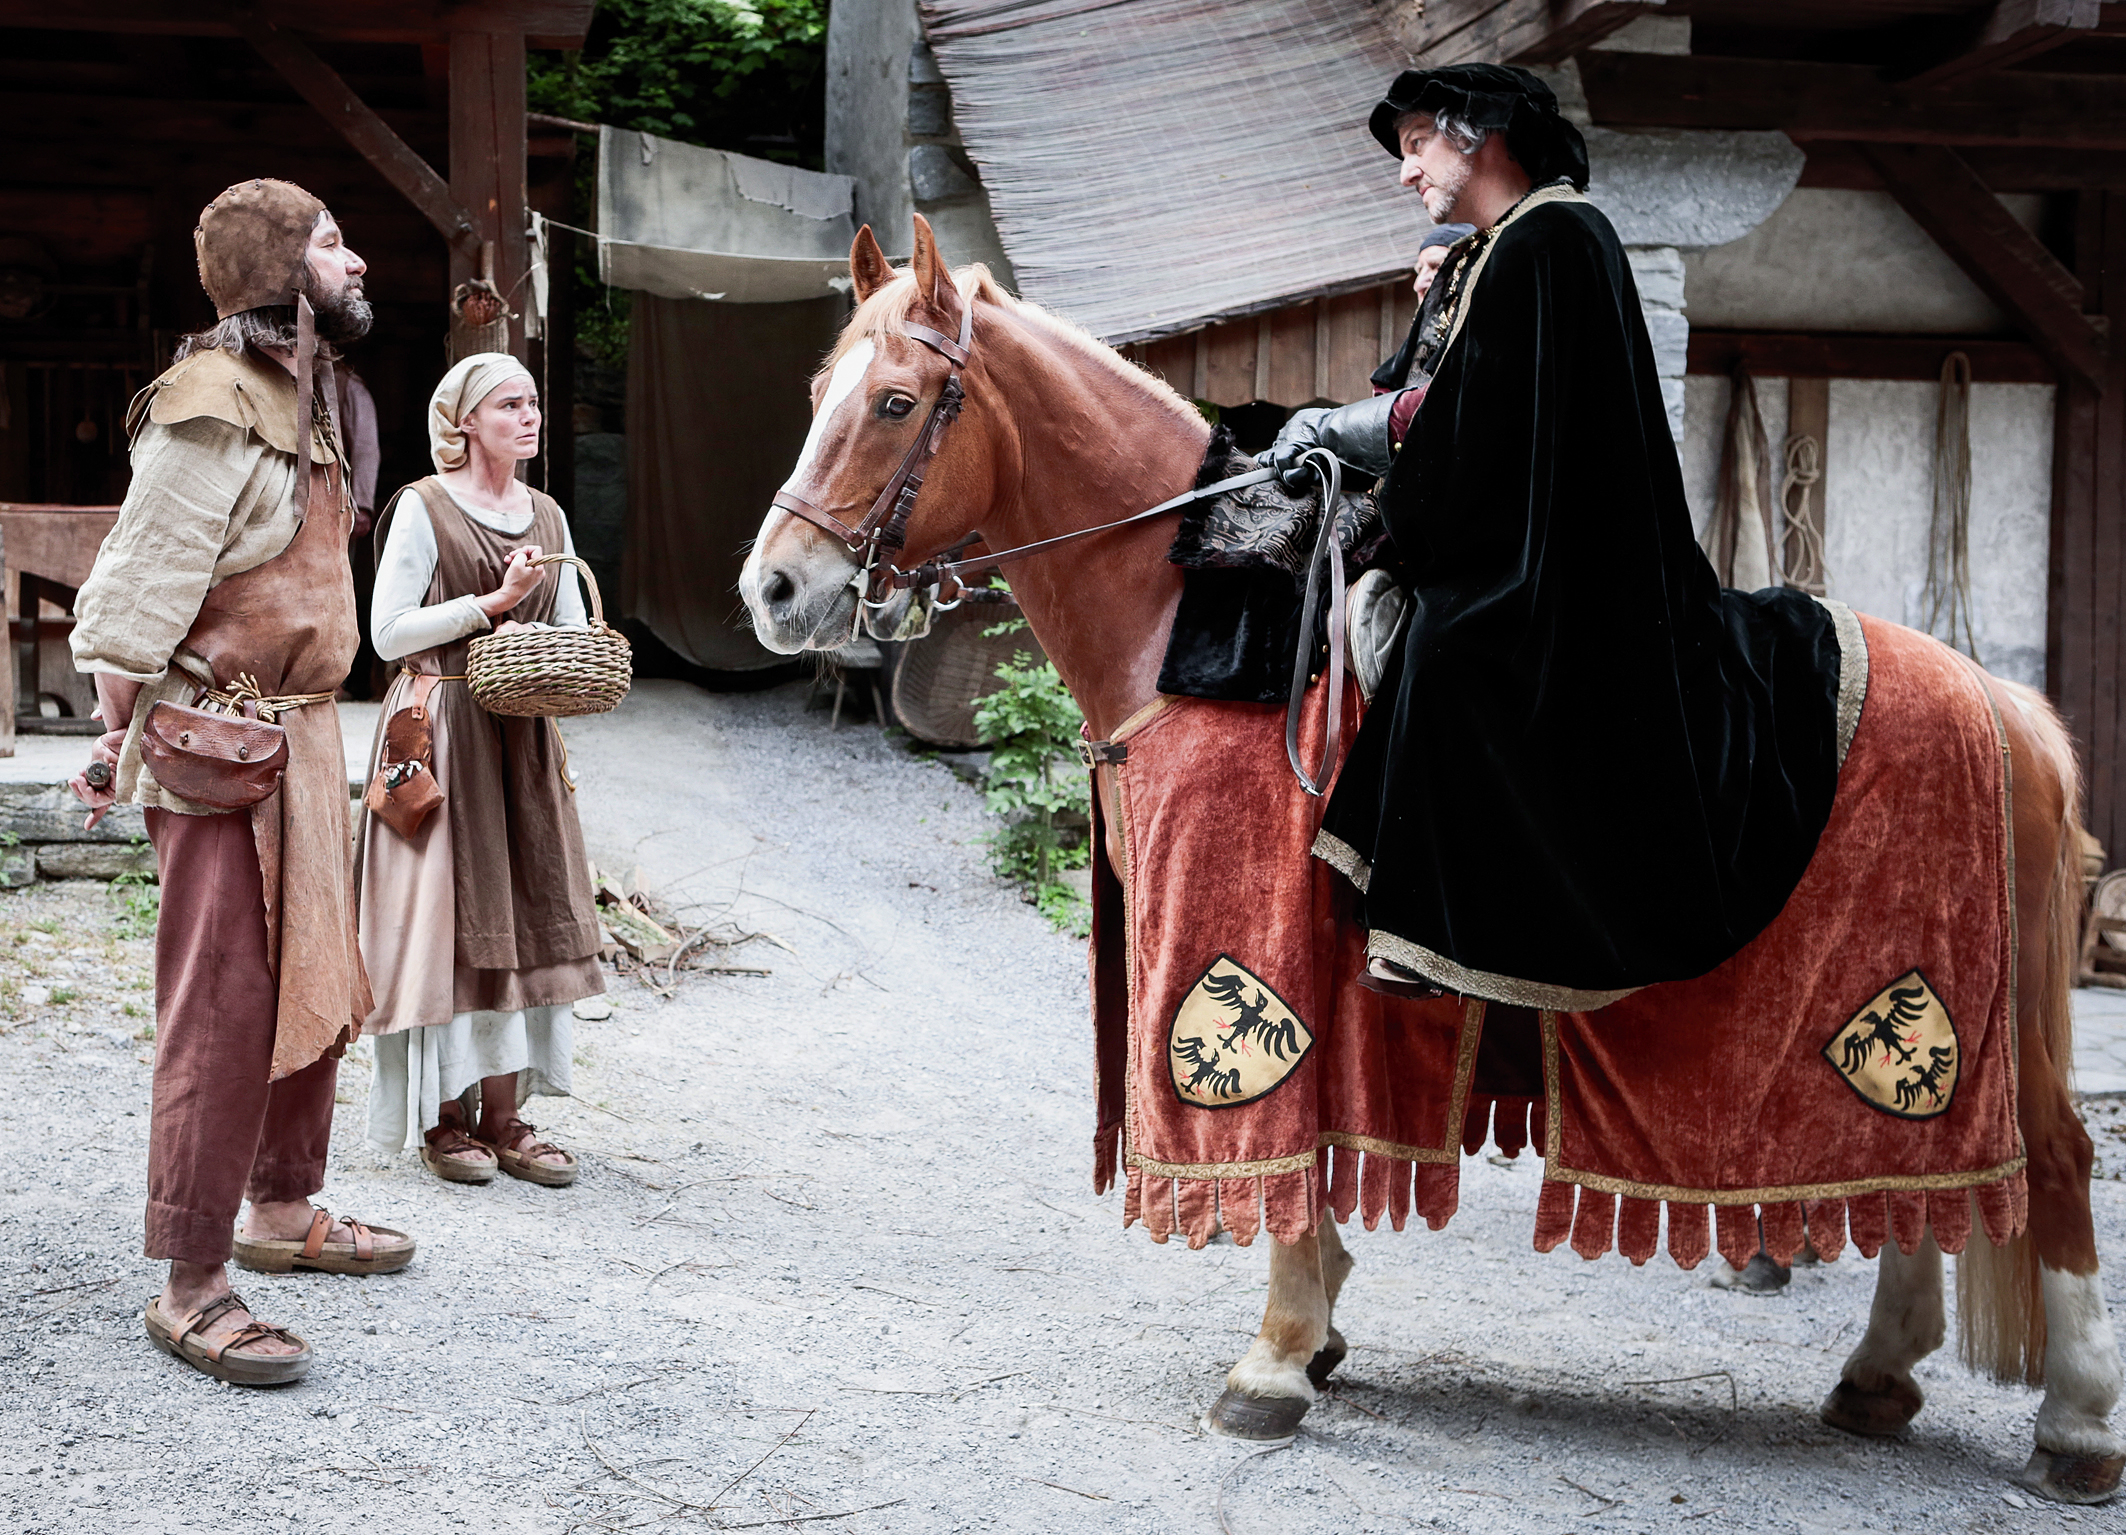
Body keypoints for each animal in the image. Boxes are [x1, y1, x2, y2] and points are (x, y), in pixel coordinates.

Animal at [739, 214, 2117, 1505]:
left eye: (897, 402)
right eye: (812, 393)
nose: (774, 590)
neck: (1191, 619)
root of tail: (2009, 707)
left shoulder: (1250, 945)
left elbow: (1282, 1140)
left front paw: (1274, 1355)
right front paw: (1317, 1324)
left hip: (1951, 1005)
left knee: (2051, 1161)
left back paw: (2076, 1425)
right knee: (1932, 1176)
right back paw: (1879, 1371)